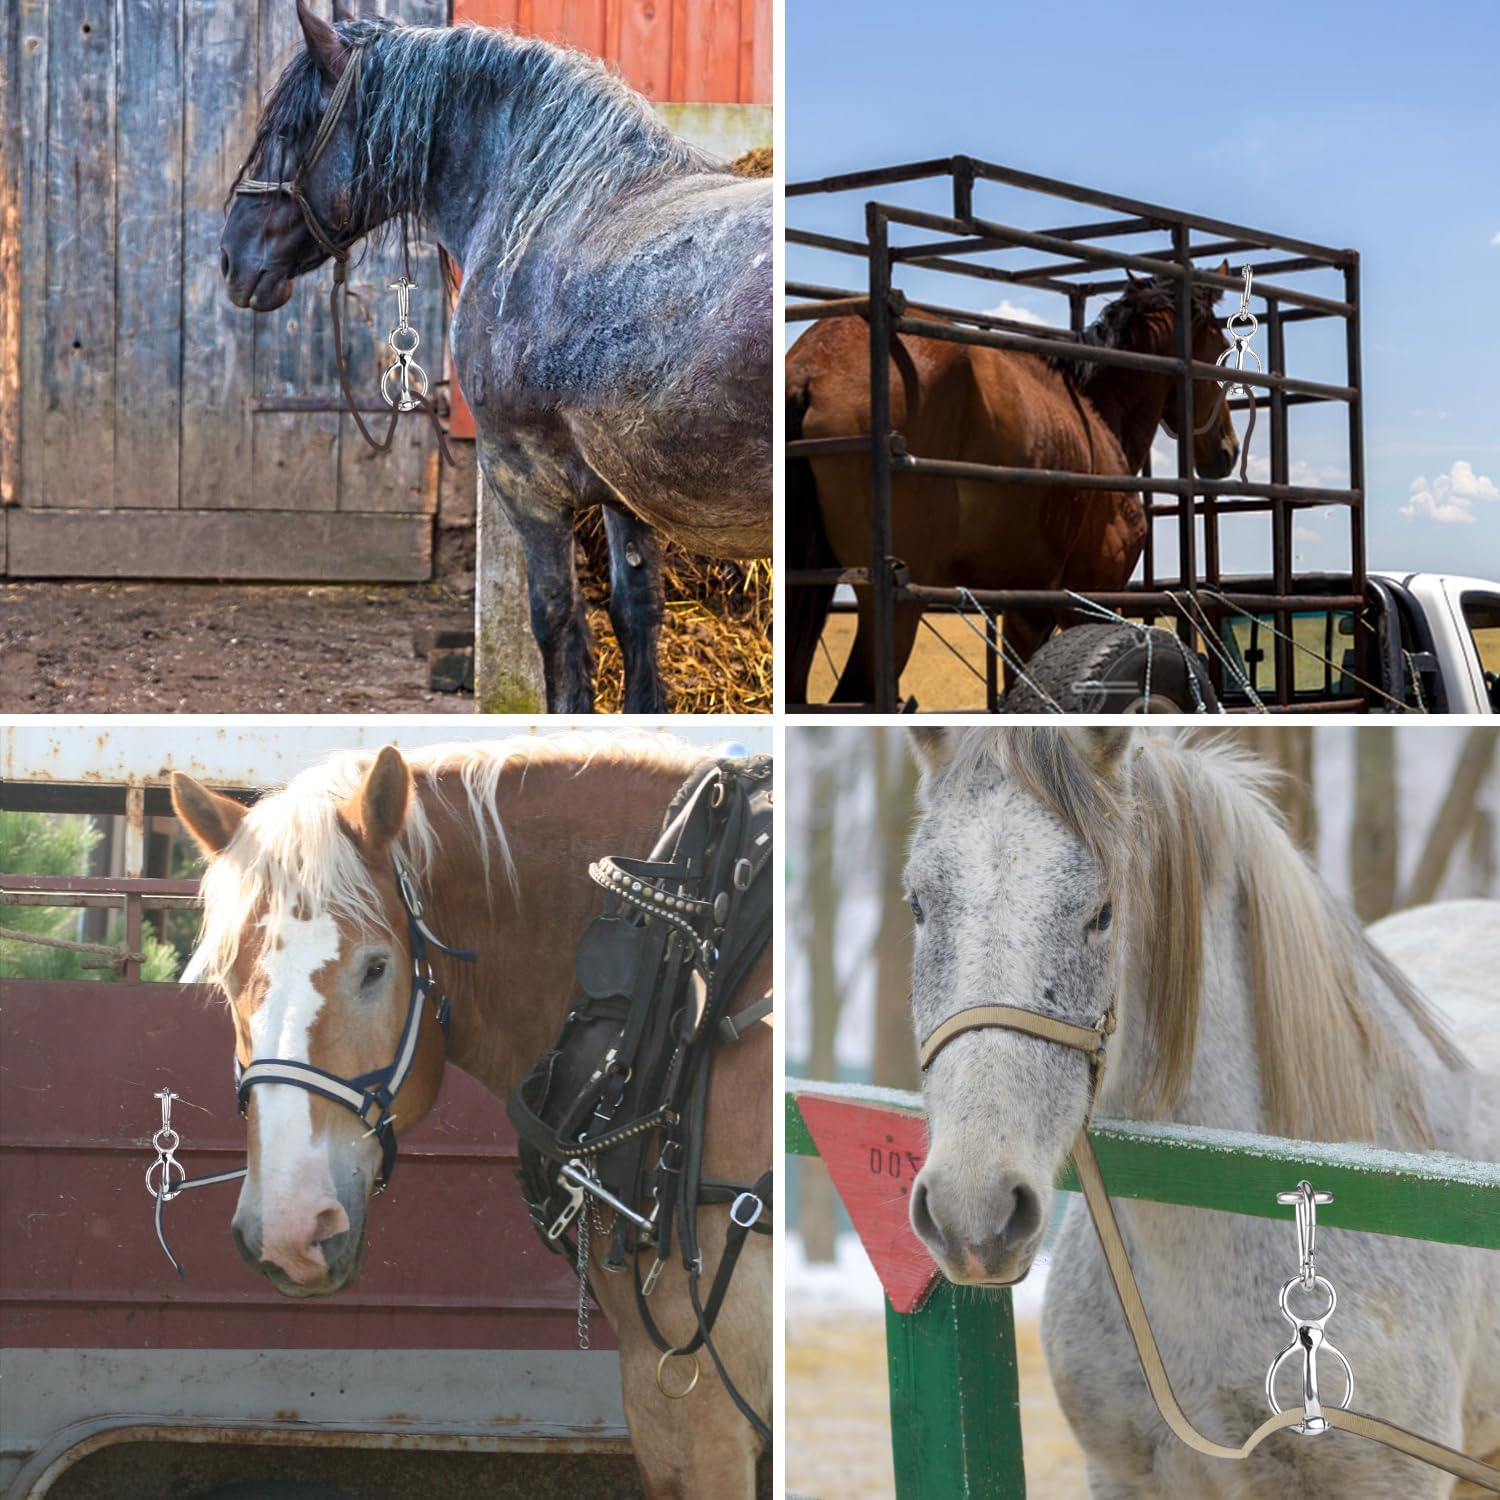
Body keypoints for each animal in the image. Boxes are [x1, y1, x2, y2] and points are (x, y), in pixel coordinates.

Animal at [220, 6, 771, 713]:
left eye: (290, 130)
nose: (230, 258)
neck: (549, 209)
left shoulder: (523, 480)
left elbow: (559, 624)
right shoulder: (624, 490)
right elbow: (637, 616)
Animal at [785, 273, 1240, 704]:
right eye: (1220, 349)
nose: (1229, 448)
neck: (1095, 419)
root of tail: (813, 368)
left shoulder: (1027, 609)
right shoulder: (1090, 596)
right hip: (899, 607)